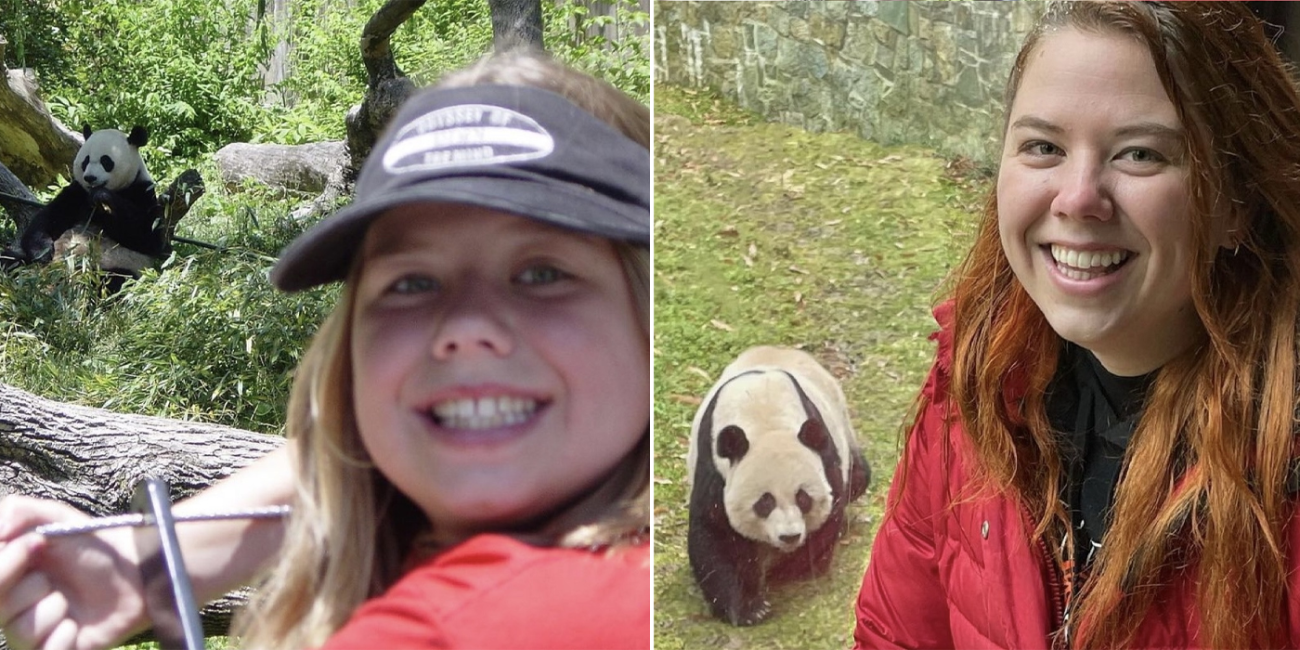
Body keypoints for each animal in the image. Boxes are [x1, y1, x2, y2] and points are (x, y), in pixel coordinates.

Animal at [686, 345, 868, 624]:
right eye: (765, 502)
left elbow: (829, 514)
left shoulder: (824, 456)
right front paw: (749, 607)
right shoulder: (714, 466)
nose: (789, 536)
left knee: (859, 477)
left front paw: (787, 568)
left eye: (803, 498)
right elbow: (714, 531)